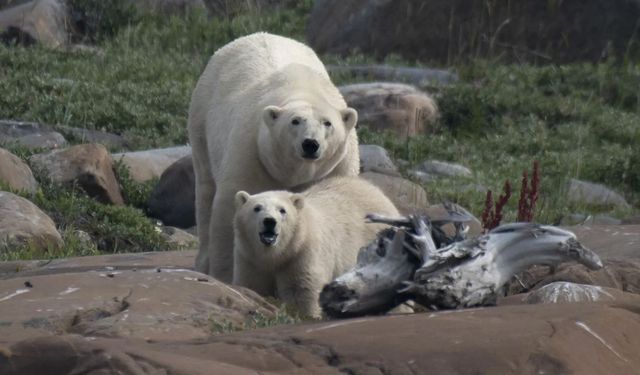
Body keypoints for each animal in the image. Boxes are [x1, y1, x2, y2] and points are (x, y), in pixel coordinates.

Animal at [189, 33, 360, 282]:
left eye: (327, 123)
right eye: (295, 121)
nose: (310, 144)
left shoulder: (339, 165)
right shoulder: (251, 151)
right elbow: (231, 207)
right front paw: (227, 276)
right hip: (202, 118)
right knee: (205, 189)